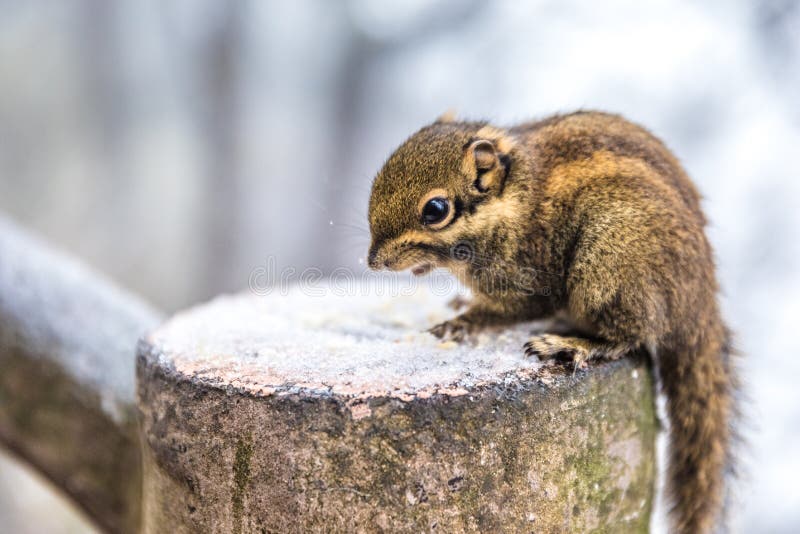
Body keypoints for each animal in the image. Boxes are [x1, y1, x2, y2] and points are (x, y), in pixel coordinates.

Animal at [367, 111, 738, 533]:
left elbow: (510, 310)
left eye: (435, 210)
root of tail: (698, 305)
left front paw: (461, 322)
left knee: (630, 336)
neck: (512, 200)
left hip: (609, 268)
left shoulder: (526, 279)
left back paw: (572, 343)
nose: (373, 261)